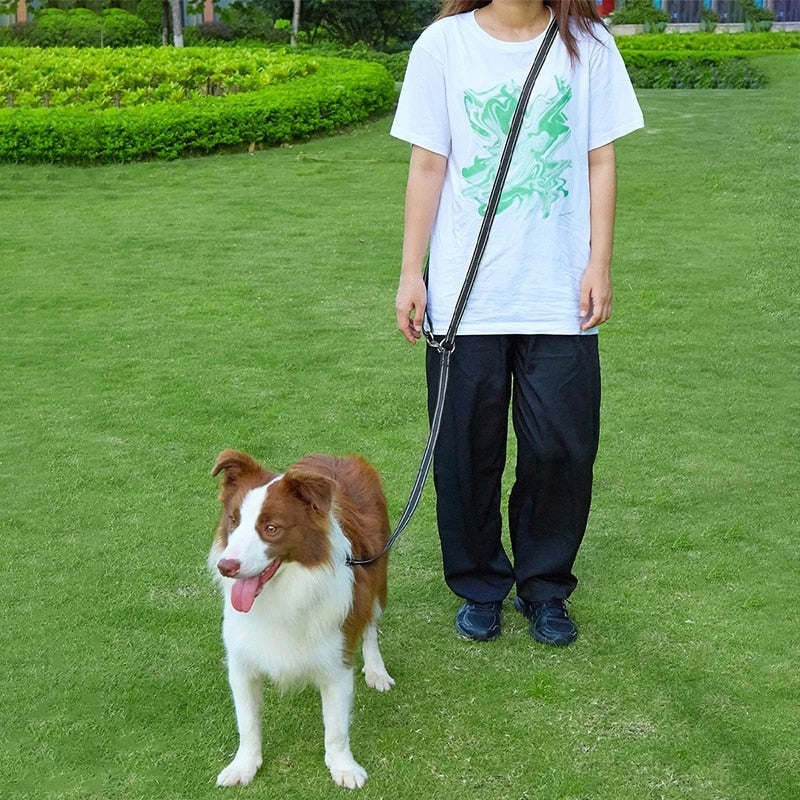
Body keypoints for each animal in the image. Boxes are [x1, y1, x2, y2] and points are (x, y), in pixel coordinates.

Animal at [208, 446, 392, 792]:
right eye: (234, 521)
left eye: (271, 529)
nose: (226, 567)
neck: (284, 593)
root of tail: (338, 456)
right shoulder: (241, 661)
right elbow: (247, 723)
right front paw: (244, 765)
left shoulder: (337, 663)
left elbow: (336, 729)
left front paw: (343, 767)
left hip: (378, 576)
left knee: (371, 627)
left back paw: (377, 670)